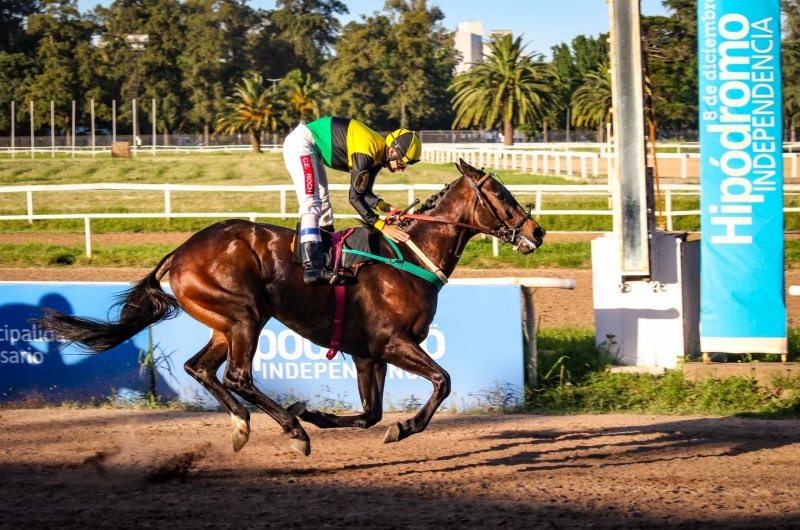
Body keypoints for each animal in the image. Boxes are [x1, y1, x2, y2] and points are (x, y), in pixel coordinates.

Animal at [39, 157, 552, 454]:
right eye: (501, 195)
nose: (538, 230)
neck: (409, 256)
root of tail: (179, 253)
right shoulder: (392, 343)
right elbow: (442, 382)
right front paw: (401, 428)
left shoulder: (368, 354)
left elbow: (371, 414)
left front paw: (321, 415)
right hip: (245, 316)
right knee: (237, 376)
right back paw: (292, 429)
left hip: (225, 323)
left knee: (199, 368)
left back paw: (244, 425)